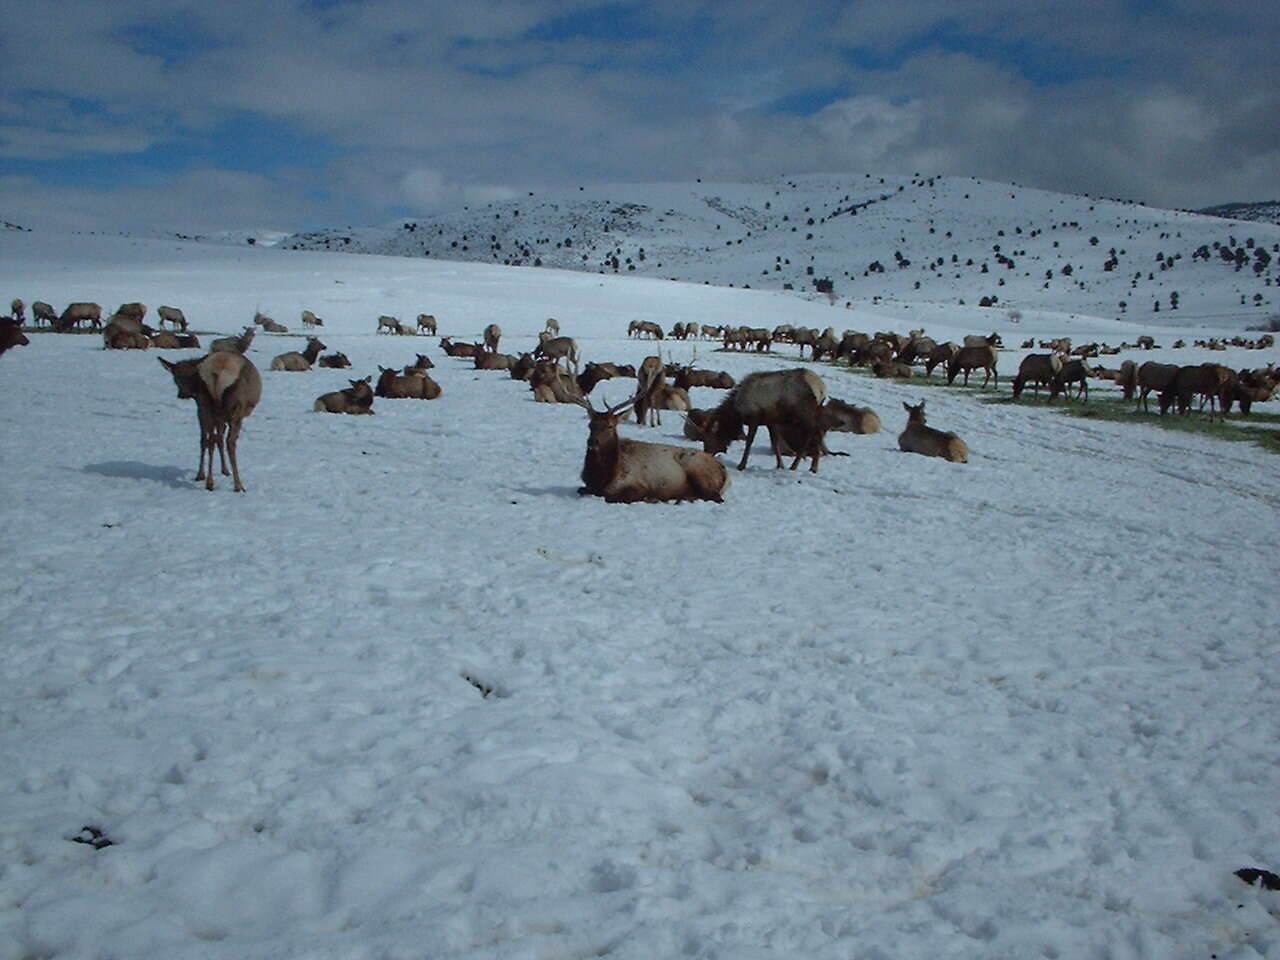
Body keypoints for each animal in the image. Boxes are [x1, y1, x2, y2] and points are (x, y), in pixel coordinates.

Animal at [158, 350, 261, 491]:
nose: (182, 394)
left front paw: (220, 471)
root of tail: (216, 373)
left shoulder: (209, 413)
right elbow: (220, 440)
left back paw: (208, 480)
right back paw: (238, 485)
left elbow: (213, 439)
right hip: (235, 411)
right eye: (175, 379)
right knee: (229, 443)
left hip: (206, 405)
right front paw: (226, 471)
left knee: (209, 440)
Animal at [573, 394, 732, 506]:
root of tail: (725, 472)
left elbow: (612, 498)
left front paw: (651, 498)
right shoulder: (588, 486)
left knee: (716, 498)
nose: (592, 441)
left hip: (695, 466)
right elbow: (581, 489)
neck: (603, 477)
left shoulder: (637, 485)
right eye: (590, 425)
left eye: (610, 426)